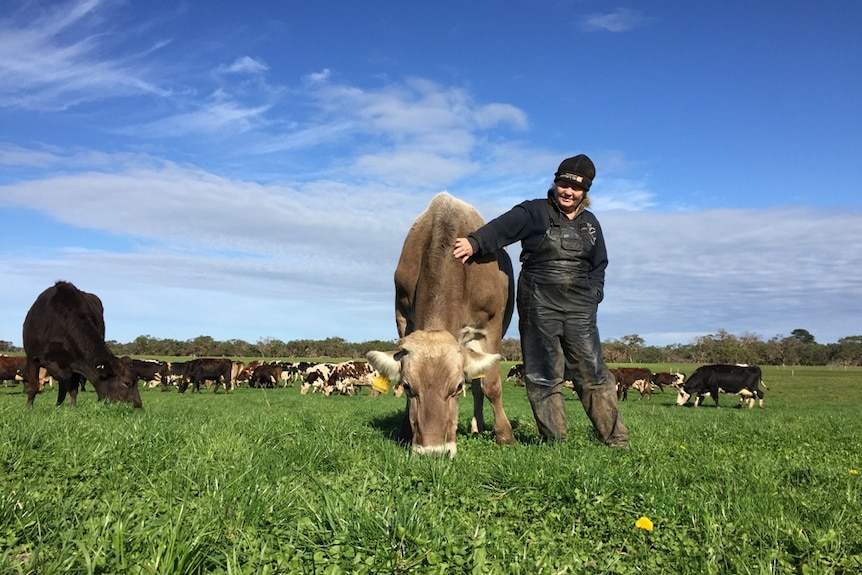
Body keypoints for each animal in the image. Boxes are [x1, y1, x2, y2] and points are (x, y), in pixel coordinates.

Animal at [22, 280, 142, 408]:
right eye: (127, 383)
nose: (138, 405)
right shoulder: (32, 357)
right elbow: (33, 386)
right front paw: (29, 407)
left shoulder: (77, 363)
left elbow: (73, 389)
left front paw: (72, 408)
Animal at [368, 194, 516, 460]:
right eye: (408, 387)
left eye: (457, 388)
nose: (432, 452)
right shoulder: (403, 318)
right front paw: (404, 430)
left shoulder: (491, 327)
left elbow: (491, 385)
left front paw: (505, 436)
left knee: (479, 385)